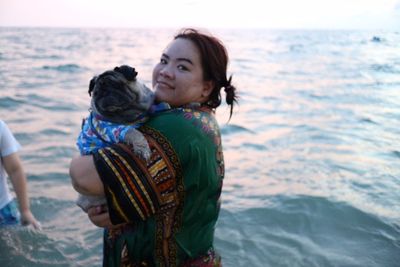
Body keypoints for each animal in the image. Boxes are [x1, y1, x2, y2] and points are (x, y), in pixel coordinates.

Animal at [75, 65, 155, 214]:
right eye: (96, 93)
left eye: (116, 85)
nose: (104, 93)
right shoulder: (115, 130)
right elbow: (134, 132)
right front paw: (143, 150)